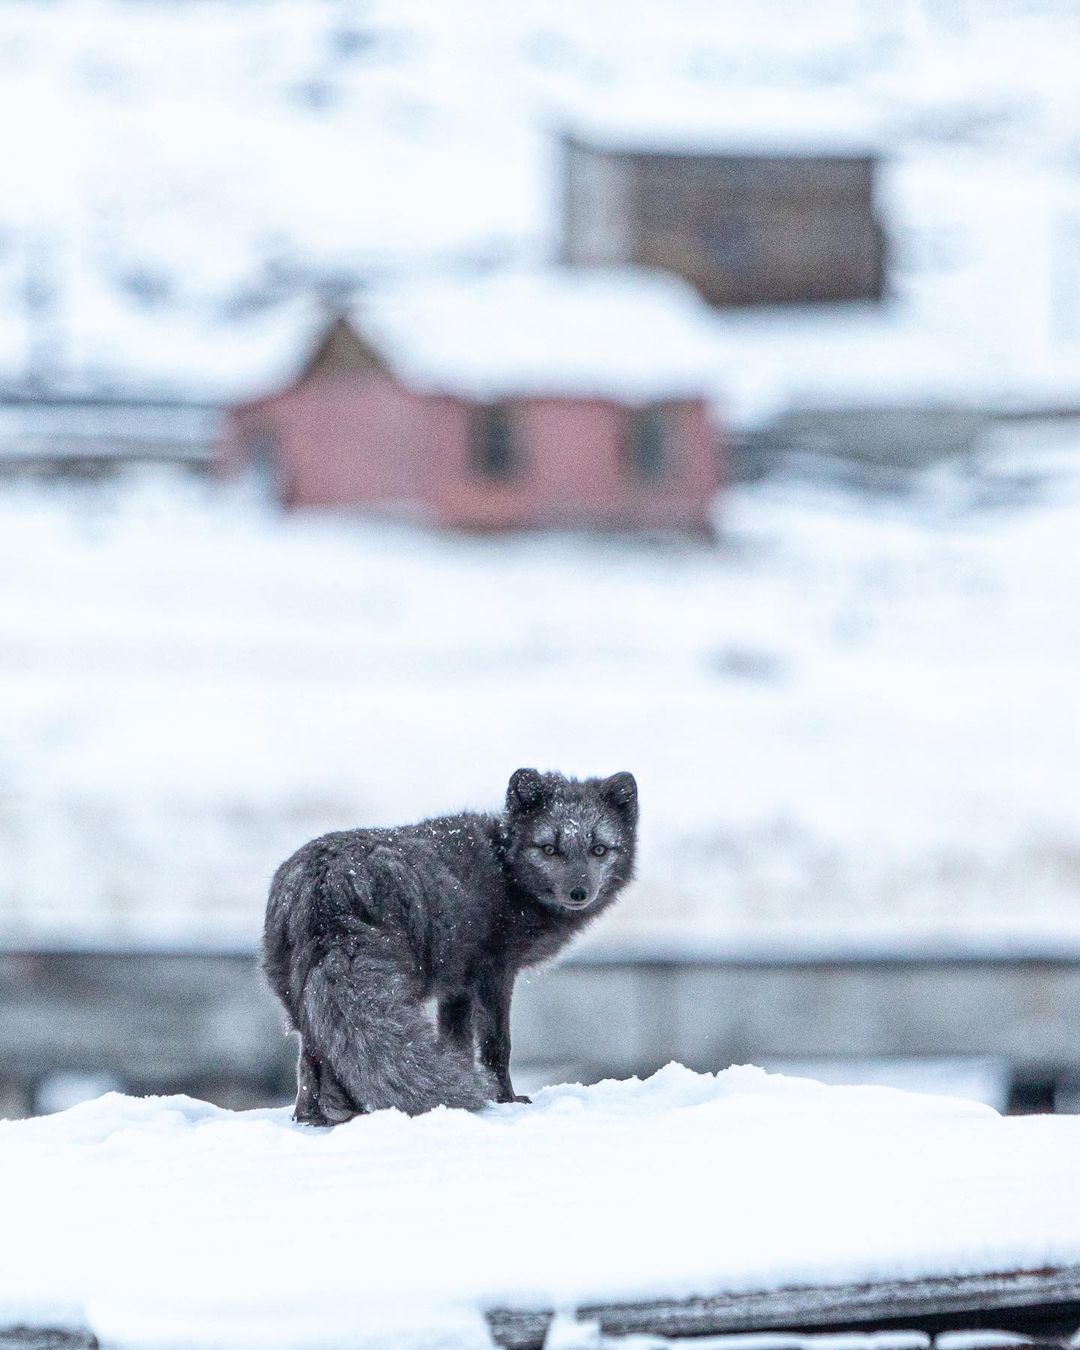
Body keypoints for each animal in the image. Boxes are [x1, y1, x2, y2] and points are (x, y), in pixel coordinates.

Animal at [260, 766, 637, 1123]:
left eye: (599, 849)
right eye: (549, 849)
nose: (579, 893)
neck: (508, 873)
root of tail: (328, 884)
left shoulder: (457, 988)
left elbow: (456, 1045)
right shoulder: (494, 973)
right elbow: (496, 1045)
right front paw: (504, 1099)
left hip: (299, 996)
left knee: (312, 1056)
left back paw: (312, 1117)